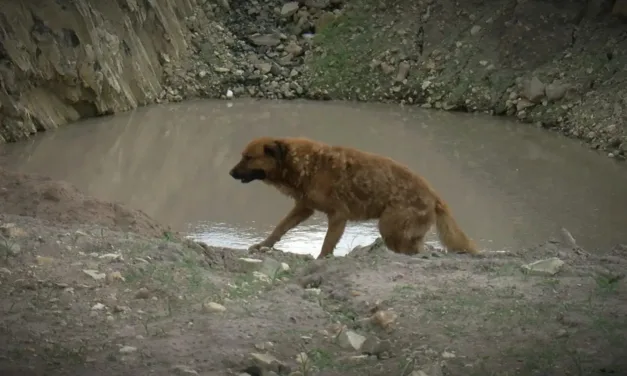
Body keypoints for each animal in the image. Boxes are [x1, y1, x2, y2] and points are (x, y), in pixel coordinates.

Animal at [231, 137, 480, 258]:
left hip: (390, 228)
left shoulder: (338, 216)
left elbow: (327, 245)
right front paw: (264, 245)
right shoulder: (303, 207)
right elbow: (280, 228)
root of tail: (435, 195)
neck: (305, 164)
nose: (230, 173)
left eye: (248, 158)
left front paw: (321, 260)